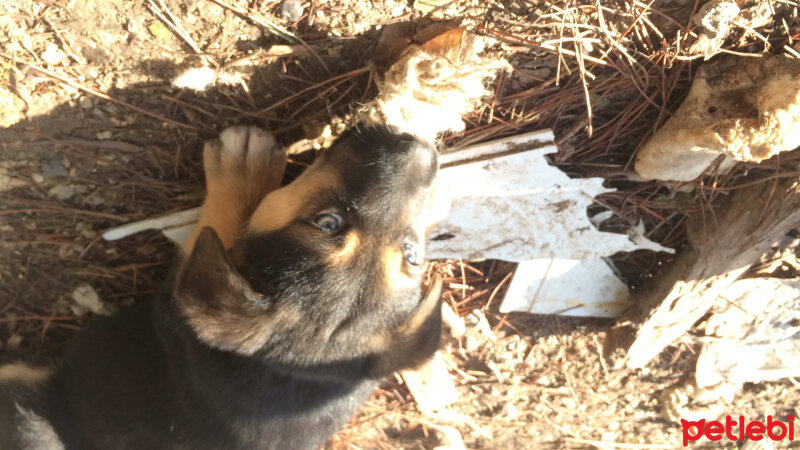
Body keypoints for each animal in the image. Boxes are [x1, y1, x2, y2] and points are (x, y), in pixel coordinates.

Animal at [0, 124, 444, 450]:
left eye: (327, 221)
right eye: (412, 256)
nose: (418, 148)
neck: (280, 365)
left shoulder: (183, 283)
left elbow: (217, 223)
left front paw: (243, 168)